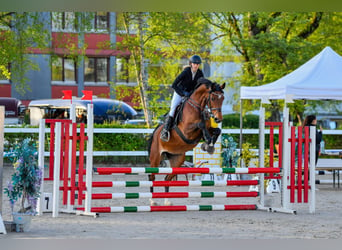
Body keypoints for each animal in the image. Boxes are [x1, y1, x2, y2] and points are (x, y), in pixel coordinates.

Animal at [146, 77, 224, 205]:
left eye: (223, 98)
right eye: (213, 98)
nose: (218, 119)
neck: (197, 107)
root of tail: (156, 132)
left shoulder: (208, 129)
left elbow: (217, 130)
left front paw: (209, 146)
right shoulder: (187, 130)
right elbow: (201, 124)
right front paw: (208, 141)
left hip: (177, 159)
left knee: (167, 178)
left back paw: (167, 201)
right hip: (155, 158)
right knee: (151, 177)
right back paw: (152, 201)